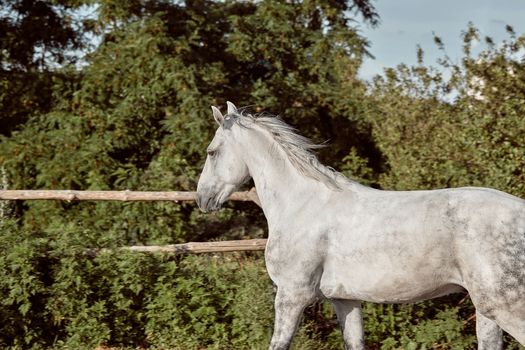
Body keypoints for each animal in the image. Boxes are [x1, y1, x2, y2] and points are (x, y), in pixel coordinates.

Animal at [196, 102, 524, 350]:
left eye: (212, 151)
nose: (203, 198)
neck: (302, 204)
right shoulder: (345, 300)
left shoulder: (291, 295)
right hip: (486, 310)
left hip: (503, 306)